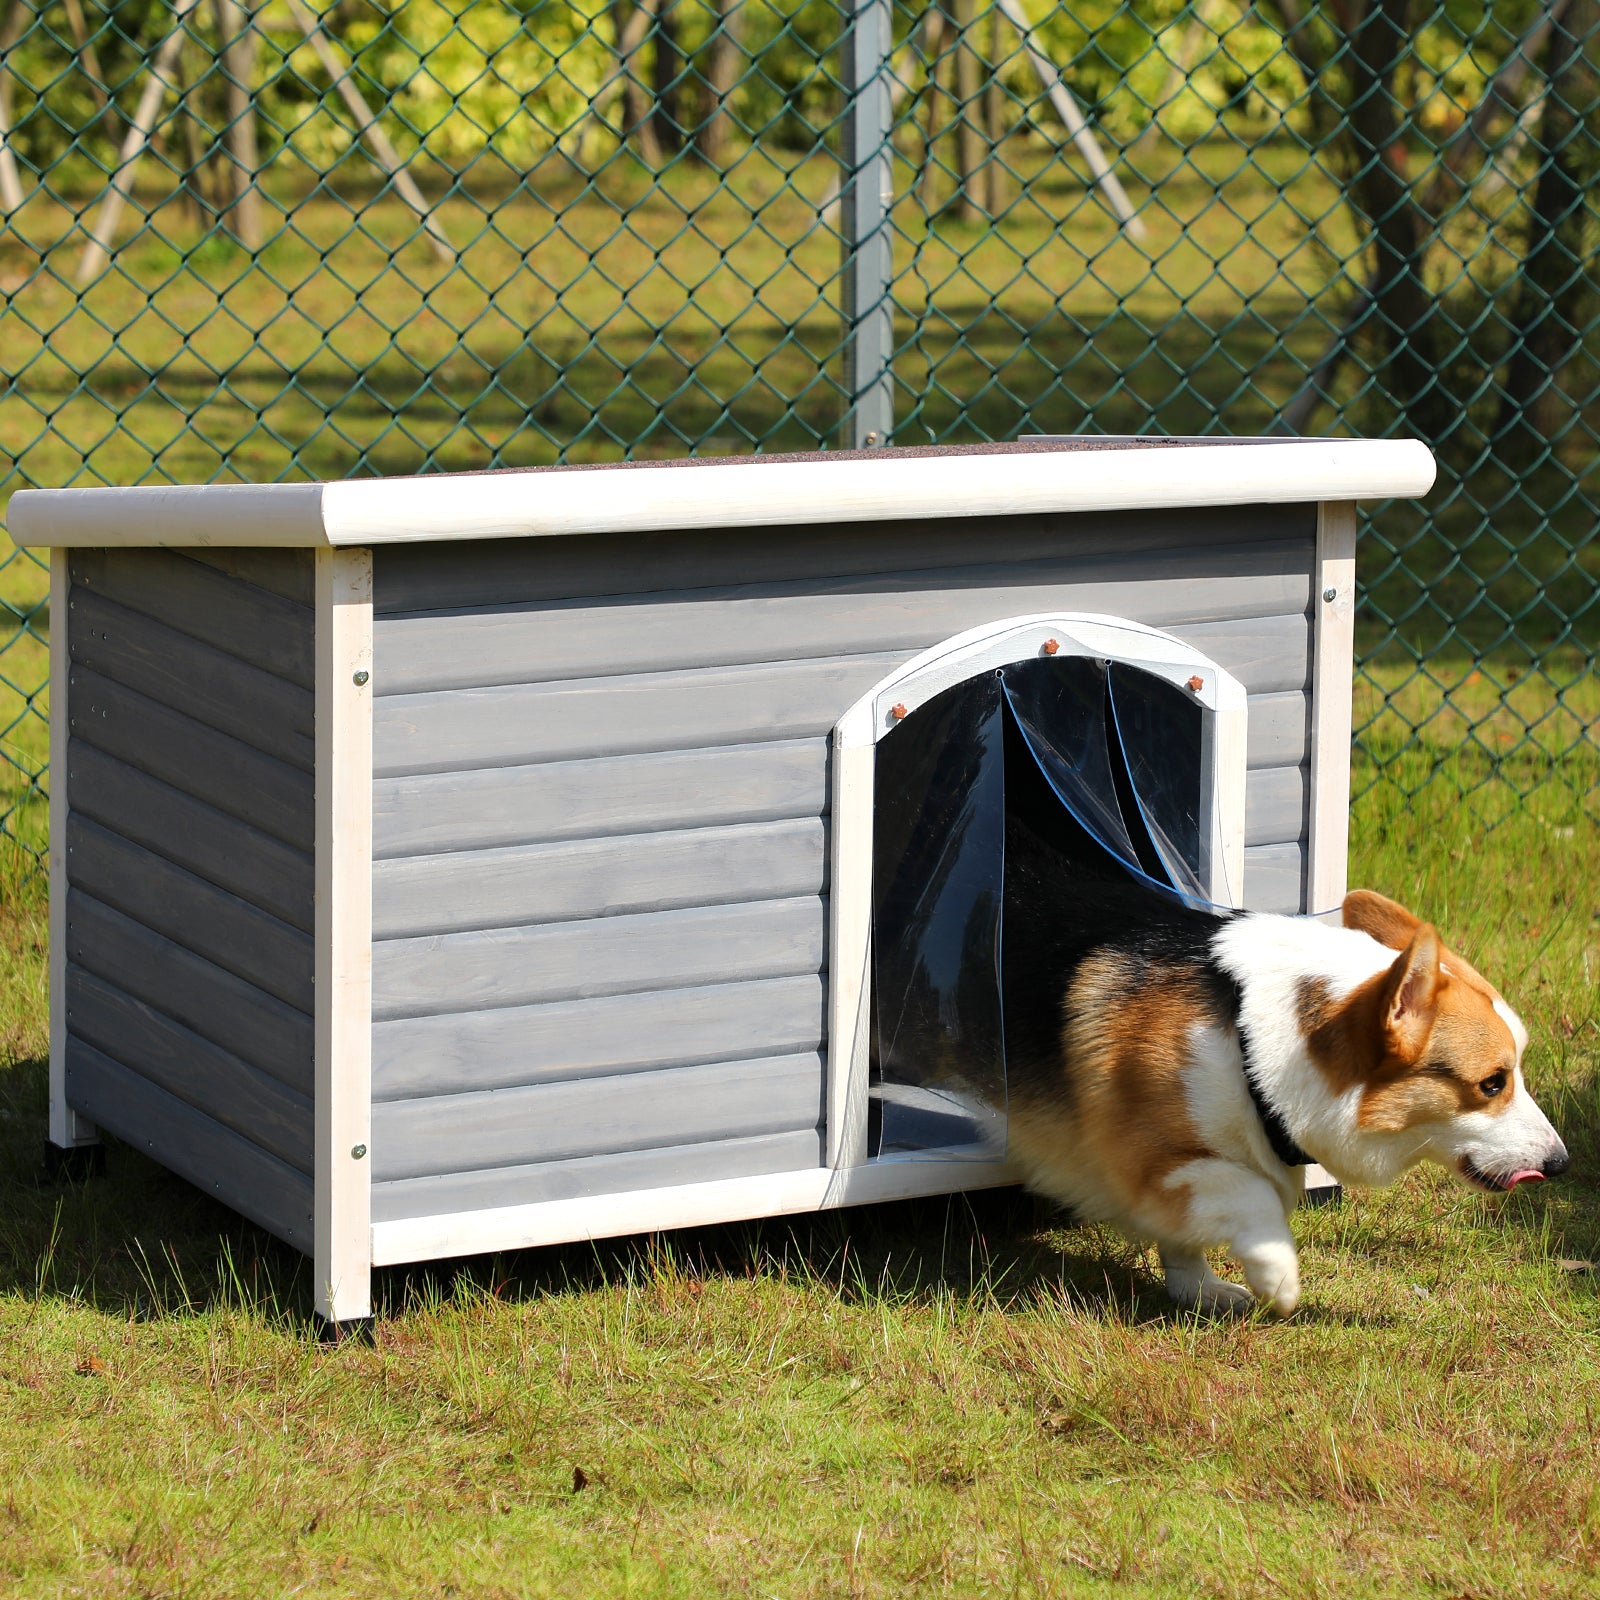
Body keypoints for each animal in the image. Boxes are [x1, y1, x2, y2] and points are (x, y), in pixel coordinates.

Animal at [998, 800, 1561, 1312]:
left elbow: (1188, 1238)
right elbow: (1251, 1194)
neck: (1245, 1040)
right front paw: (1278, 1277)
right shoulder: (1145, 1160)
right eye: (1492, 1083)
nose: (1560, 1163)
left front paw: (1200, 1291)